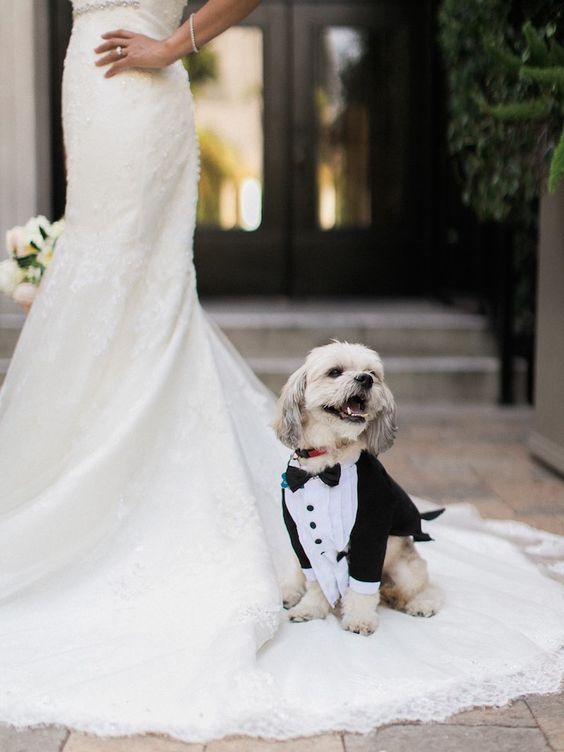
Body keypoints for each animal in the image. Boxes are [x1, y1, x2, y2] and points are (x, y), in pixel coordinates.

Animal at [274, 340, 446, 636]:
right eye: (334, 372)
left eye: (373, 373)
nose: (365, 379)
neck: (328, 462)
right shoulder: (299, 533)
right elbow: (316, 578)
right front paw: (311, 608)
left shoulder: (370, 530)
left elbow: (363, 585)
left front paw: (359, 619)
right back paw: (289, 592)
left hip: (404, 565)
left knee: (422, 585)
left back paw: (417, 602)